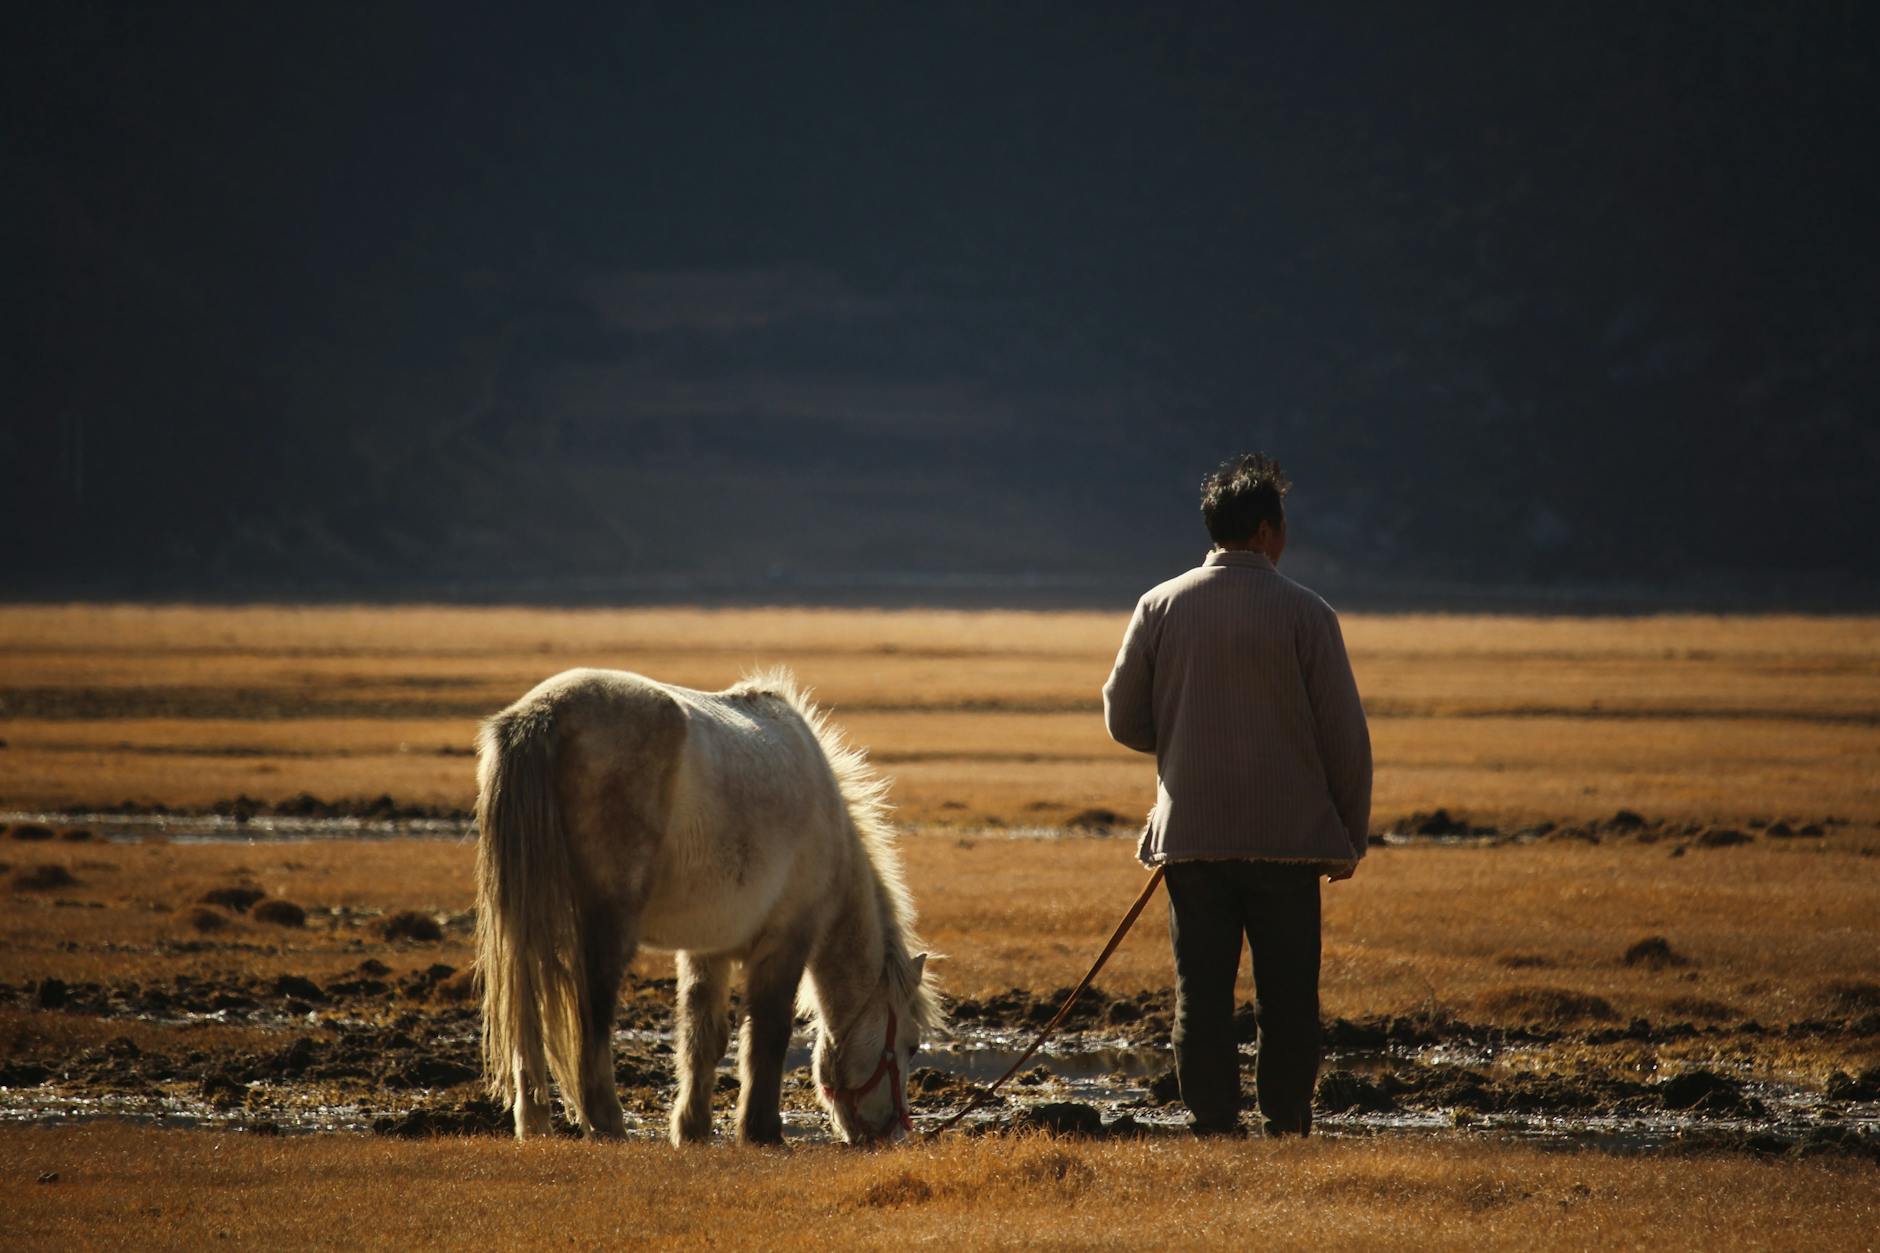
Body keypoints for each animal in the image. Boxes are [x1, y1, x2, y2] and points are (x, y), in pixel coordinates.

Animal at [473, 665, 943, 1146]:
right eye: (910, 1045)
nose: (894, 1133)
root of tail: (543, 712)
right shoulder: (787, 941)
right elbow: (768, 1033)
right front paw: (761, 1130)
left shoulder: (708, 948)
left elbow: (704, 1037)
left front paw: (693, 1128)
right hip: (606, 928)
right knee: (593, 1016)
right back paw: (607, 1122)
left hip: (525, 926)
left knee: (525, 1012)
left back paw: (533, 1121)